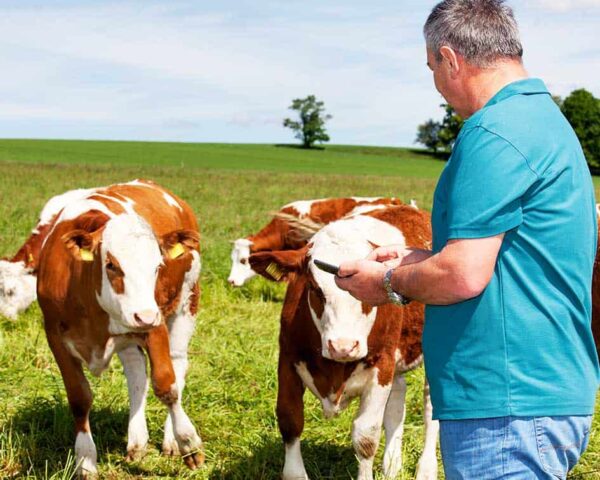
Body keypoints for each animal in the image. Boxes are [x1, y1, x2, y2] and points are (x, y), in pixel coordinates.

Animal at [38, 179, 206, 476]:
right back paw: (137, 442)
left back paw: (171, 440)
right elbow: (79, 398)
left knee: (177, 363)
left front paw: (188, 442)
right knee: (135, 369)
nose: (144, 316)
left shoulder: (155, 324)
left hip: (186, 301)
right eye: (111, 265)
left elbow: (167, 386)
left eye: (158, 266)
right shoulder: (55, 336)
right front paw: (85, 461)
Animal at [251, 205, 438, 480]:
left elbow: (365, 436)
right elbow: (290, 420)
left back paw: (426, 469)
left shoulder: (382, 364)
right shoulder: (287, 358)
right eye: (314, 287)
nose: (343, 346)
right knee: (397, 401)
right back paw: (392, 464)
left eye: (368, 286)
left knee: (431, 409)